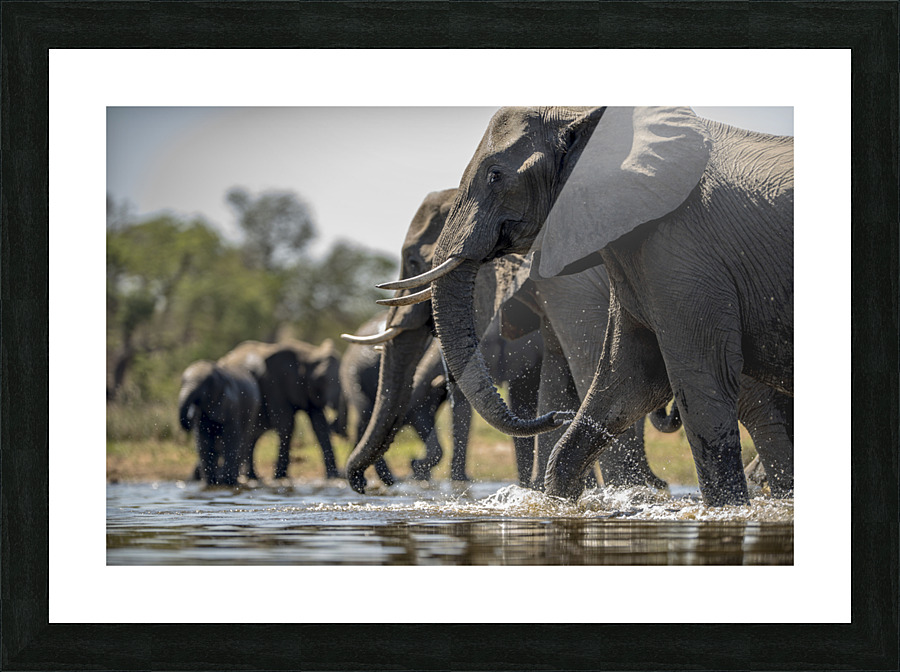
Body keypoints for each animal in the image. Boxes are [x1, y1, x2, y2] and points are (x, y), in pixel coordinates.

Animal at [218, 338, 346, 480]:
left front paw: (333, 476)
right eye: (321, 378)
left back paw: (253, 476)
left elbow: (320, 425)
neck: (308, 354)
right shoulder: (275, 383)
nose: (334, 425)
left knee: (252, 436)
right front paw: (279, 476)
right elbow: (286, 423)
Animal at [403, 106, 793, 506]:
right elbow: (627, 378)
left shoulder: (681, 254)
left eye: (495, 175)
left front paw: (723, 509)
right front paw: (561, 501)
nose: (558, 417)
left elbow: (699, 380)